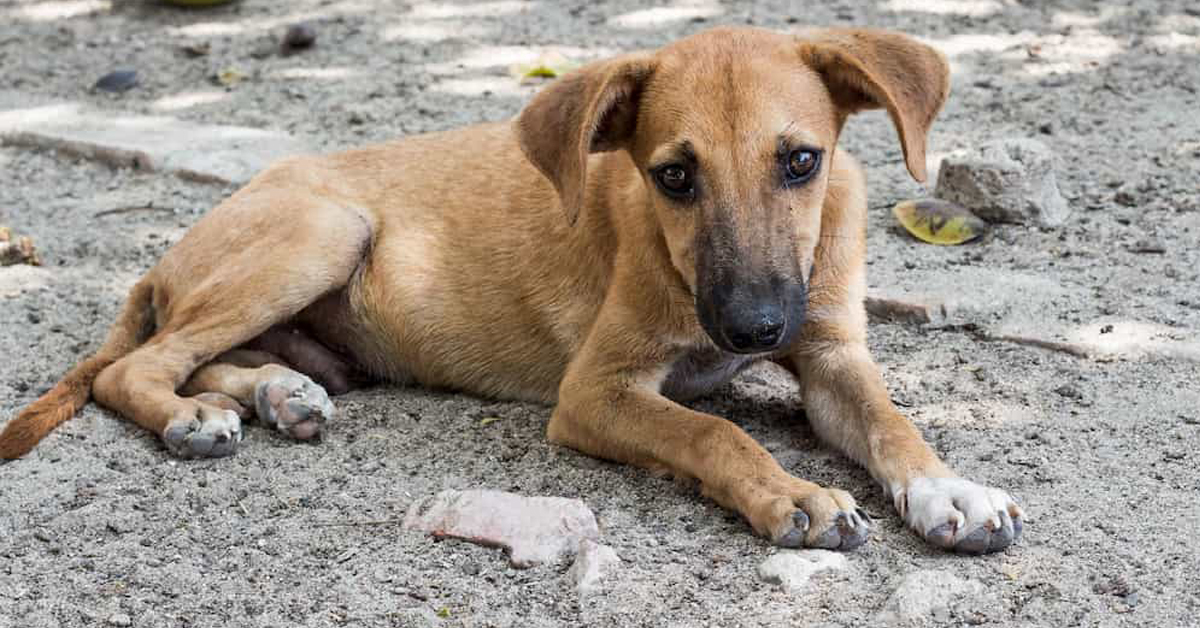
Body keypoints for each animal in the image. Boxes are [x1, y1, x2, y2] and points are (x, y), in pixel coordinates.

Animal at [4, 25, 1027, 554]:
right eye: (674, 177)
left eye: (802, 161)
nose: (753, 328)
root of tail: (166, 254)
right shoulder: (596, 393)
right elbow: (713, 431)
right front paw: (794, 494)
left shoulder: (831, 354)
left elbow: (893, 423)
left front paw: (950, 489)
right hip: (323, 231)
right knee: (134, 368)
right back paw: (193, 416)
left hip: (320, 316)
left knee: (215, 358)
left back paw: (278, 394)